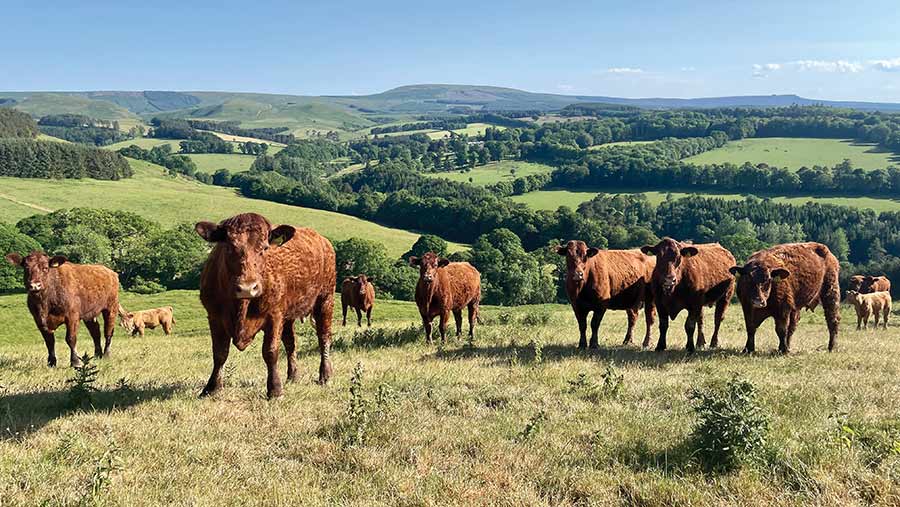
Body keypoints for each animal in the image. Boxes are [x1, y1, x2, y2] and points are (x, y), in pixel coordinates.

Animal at [195, 212, 336, 398]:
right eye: (229, 248)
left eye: (264, 248)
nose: (247, 288)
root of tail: (323, 240)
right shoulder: (214, 317)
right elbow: (219, 353)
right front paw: (211, 388)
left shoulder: (274, 316)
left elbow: (270, 351)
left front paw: (275, 390)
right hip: (289, 315)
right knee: (291, 342)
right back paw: (292, 376)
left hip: (325, 300)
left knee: (324, 337)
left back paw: (325, 375)